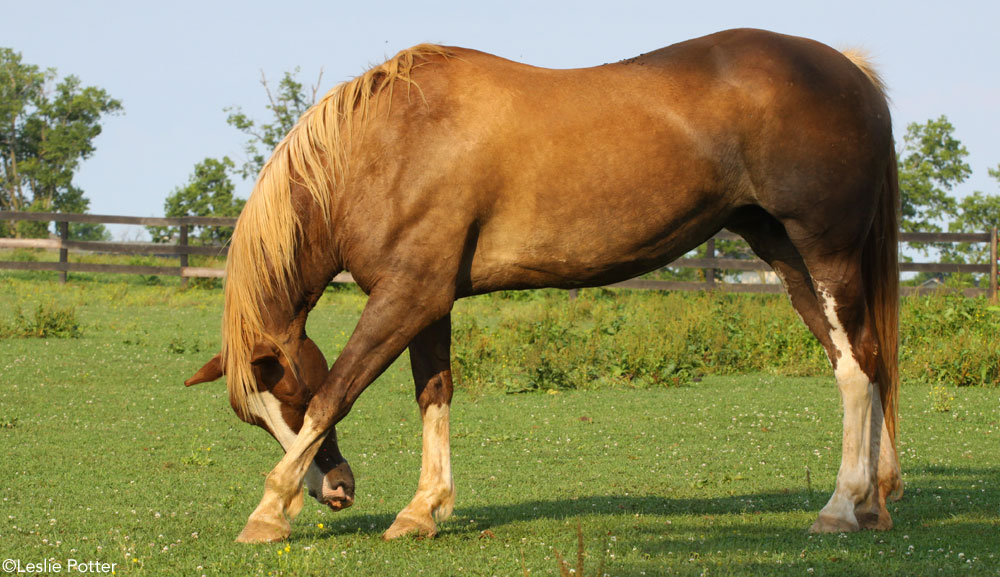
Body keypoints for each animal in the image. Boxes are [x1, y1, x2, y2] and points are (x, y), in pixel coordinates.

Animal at [184, 27, 904, 540]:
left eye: (289, 396)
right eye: (255, 419)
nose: (335, 491)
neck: (385, 146)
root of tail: (850, 71)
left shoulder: (405, 296)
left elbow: (342, 392)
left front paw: (268, 511)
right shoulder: (429, 301)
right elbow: (433, 394)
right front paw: (423, 510)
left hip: (825, 252)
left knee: (854, 369)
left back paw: (840, 507)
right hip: (785, 255)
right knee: (866, 360)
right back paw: (874, 502)